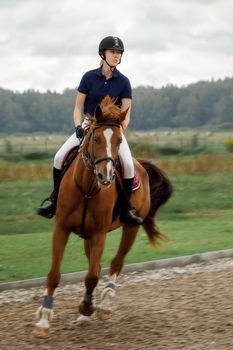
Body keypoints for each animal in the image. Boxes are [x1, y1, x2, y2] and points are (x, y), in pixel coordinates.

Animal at [34, 95, 173, 336]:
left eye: (118, 140)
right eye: (96, 138)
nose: (105, 176)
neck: (87, 188)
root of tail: (141, 165)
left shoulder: (99, 234)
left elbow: (91, 276)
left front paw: (86, 308)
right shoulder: (62, 229)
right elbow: (55, 275)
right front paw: (44, 318)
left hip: (130, 228)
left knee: (116, 263)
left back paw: (104, 305)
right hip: (87, 237)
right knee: (98, 266)